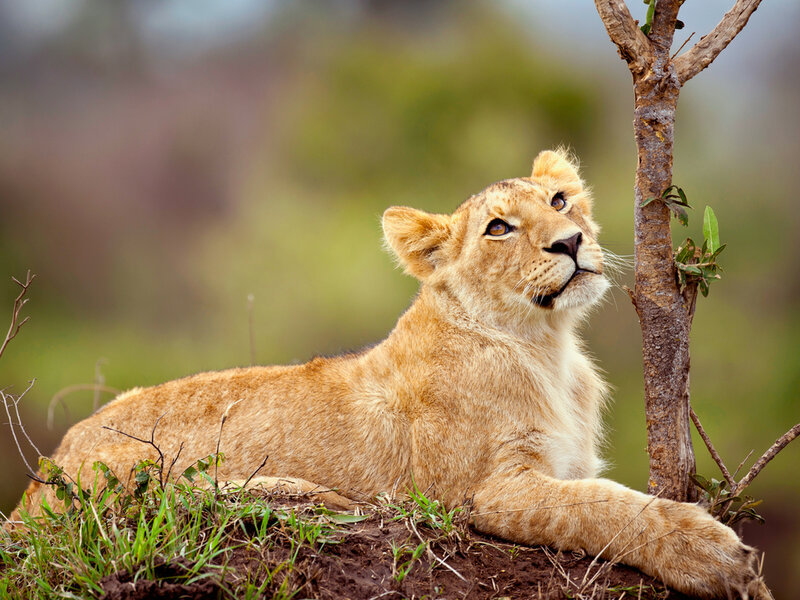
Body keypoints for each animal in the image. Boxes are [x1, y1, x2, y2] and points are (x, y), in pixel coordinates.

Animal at [11, 150, 766, 598]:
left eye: (559, 202)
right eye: (497, 228)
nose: (571, 242)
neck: (546, 345)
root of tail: (39, 480)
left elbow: (600, 495)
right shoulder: (482, 491)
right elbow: (601, 507)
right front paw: (713, 556)